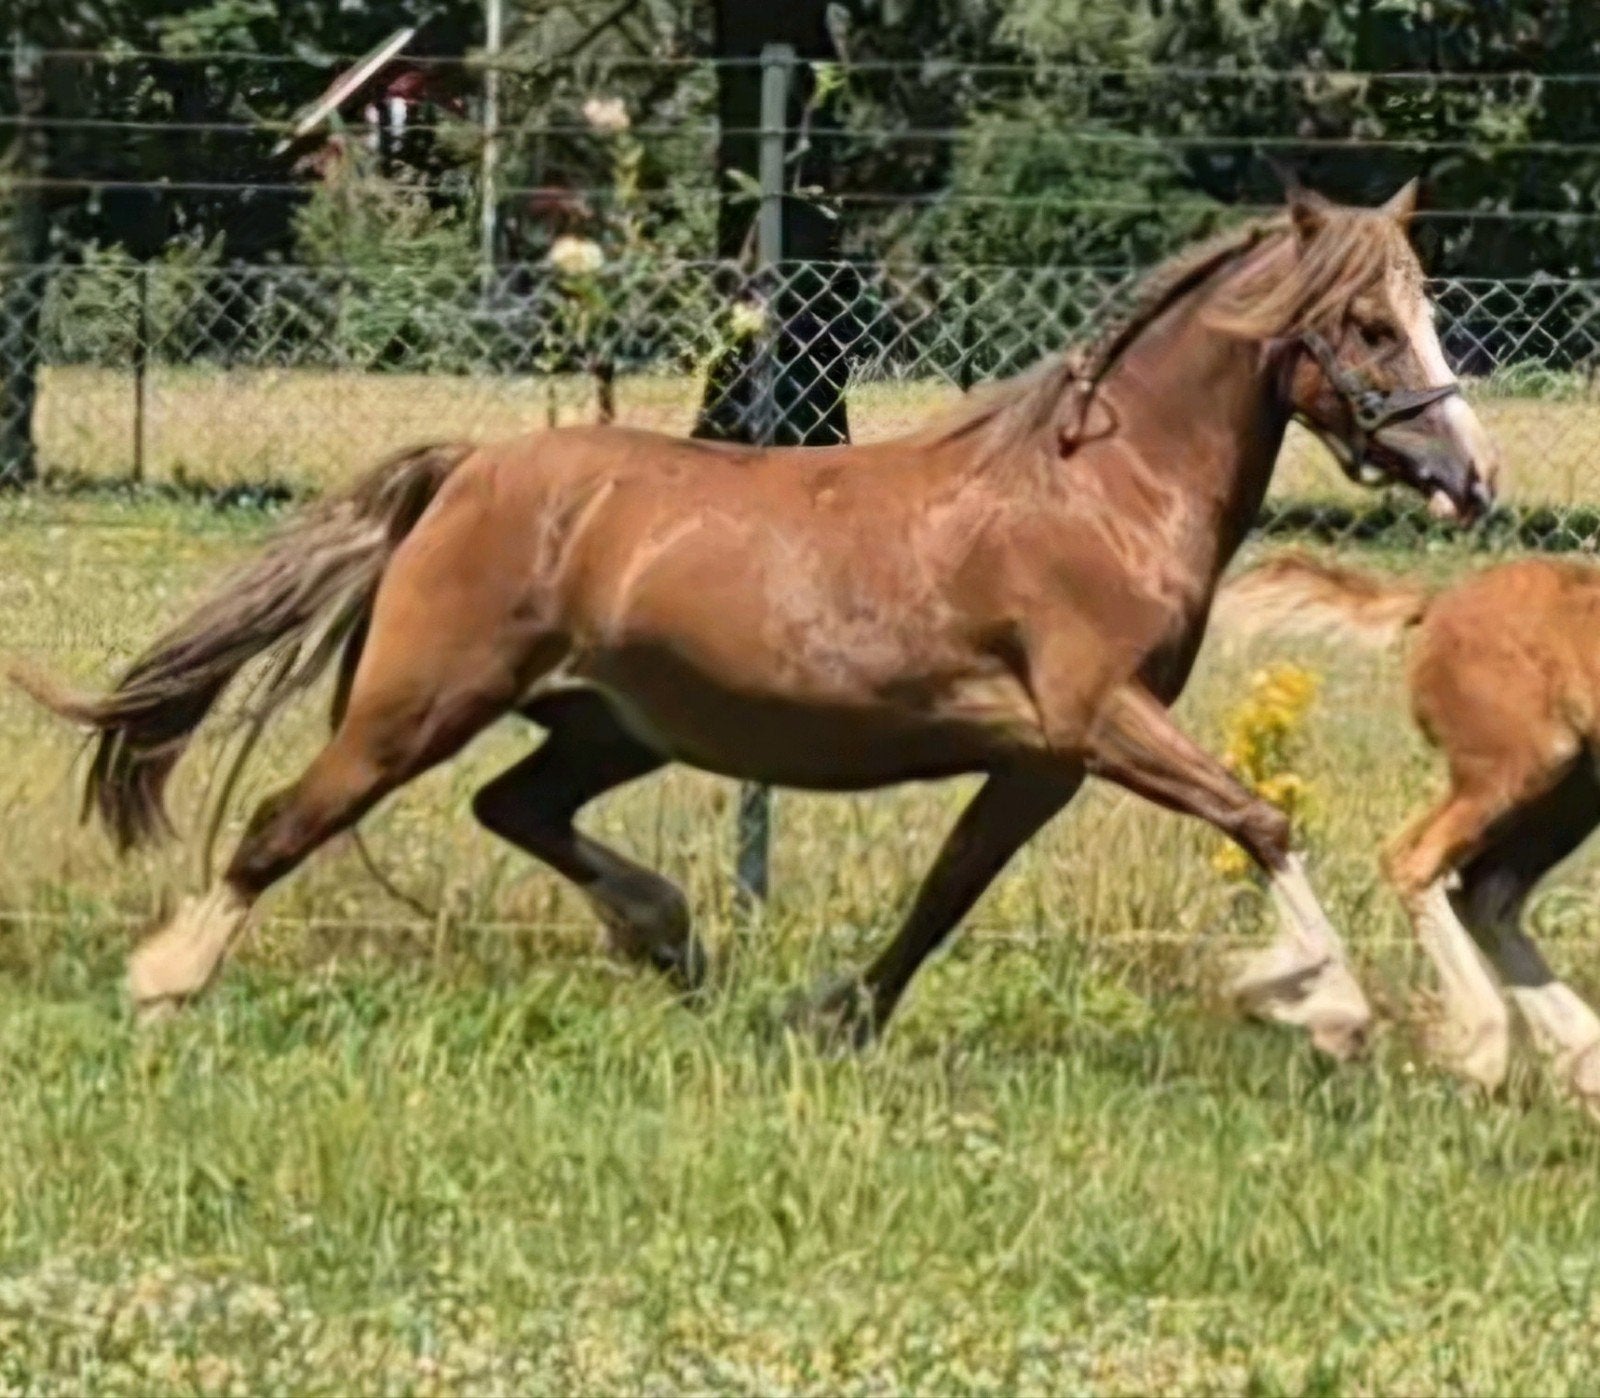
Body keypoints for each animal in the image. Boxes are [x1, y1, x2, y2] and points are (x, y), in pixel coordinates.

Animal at [16, 177, 1497, 1057]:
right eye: (1372, 327)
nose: (1472, 474)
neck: (1103, 492)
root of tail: (472, 467)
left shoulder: (1038, 760)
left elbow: (946, 893)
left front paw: (833, 1019)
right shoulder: (1097, 719)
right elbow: (1261, 819)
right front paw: (1339, 1010)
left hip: (611, 725)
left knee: (518, 807)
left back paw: (670, 936)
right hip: (420, 702)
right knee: (289, 819)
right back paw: (165, 978)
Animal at [1219, 552, 1600, 1116]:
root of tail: (1438, 603)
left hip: (1572, 791)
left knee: (1486, 892)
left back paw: (1580, 1064)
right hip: (1522, 764)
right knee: (1415, 860)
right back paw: (1484, 1049)